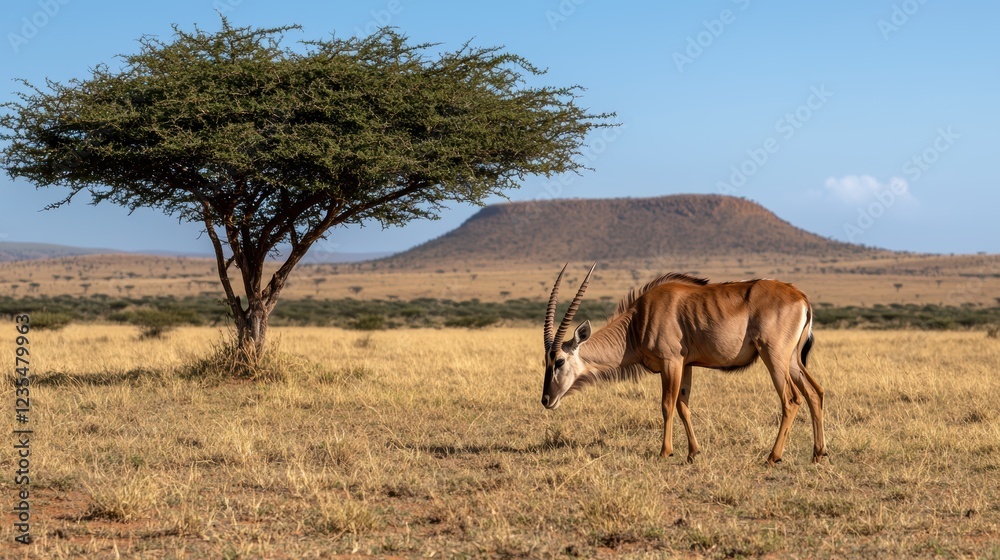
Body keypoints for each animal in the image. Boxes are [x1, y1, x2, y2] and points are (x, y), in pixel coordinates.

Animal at [541, 264, 827, 464]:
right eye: (546, 361)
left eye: (559, 361)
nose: (546, 400)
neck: (637, 320)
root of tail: (800, 296)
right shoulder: (686, 365)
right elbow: (683, 405)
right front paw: (693, 453)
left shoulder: (671, 362)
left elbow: (667, 405)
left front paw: (665, 451)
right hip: (792, 362)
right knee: (815, 393)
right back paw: (818, 454)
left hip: (774, 357)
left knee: (791, 399)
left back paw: (773, 456)